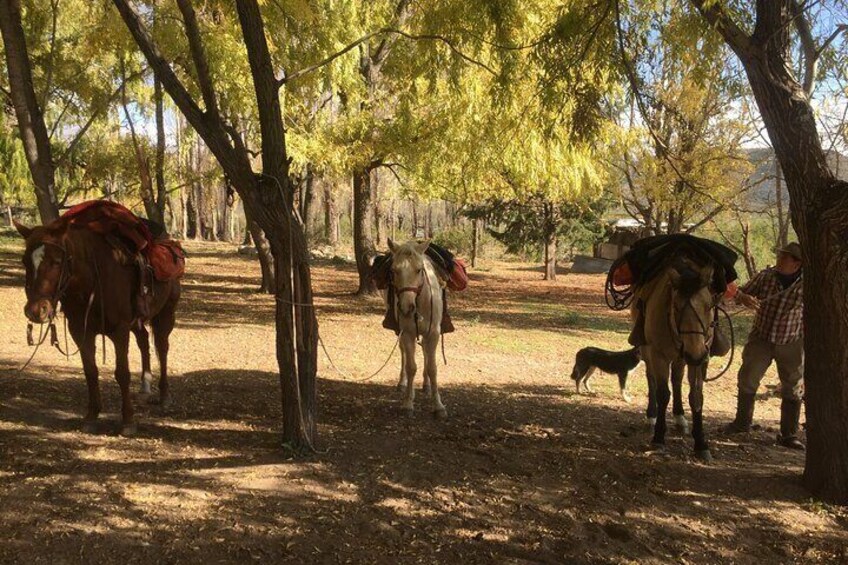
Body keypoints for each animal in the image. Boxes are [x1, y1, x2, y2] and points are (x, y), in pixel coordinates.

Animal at [15, 214, 181, 434]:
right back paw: (145, 386)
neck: (91, 279)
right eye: (25, 261)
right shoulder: (80, 330)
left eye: (56, 261)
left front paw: (128, 421)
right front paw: (91, 417)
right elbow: (90, 372)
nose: (36, 310)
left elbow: (122, 373)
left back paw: (165, 396)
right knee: (144, 341)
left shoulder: (120, 330)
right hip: (137, 321)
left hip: (166, 314)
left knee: (162, 348)